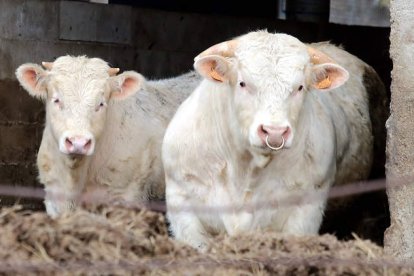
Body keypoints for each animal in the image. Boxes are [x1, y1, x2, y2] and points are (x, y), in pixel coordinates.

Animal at [162, 30, 382, 250]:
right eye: (243, 83)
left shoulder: (306, 210)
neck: (245, 168)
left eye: (300, 87)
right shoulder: (182, 203)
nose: (274, 132)